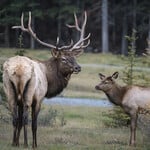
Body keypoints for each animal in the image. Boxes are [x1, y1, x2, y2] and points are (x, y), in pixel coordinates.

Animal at [2, 11, 89, 148]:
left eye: (74, 57)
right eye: (63, 59)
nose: (78, 67)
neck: (48, 76)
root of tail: (18, 69)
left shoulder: (19, 101)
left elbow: (19, 121)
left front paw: (15, 143)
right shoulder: (39, 98)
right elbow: (34, 123)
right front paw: (34, 144)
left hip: (10, 91)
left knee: (15, 118)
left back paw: (15, 143)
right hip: (29, 93)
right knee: (26, 120)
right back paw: (27, 144)